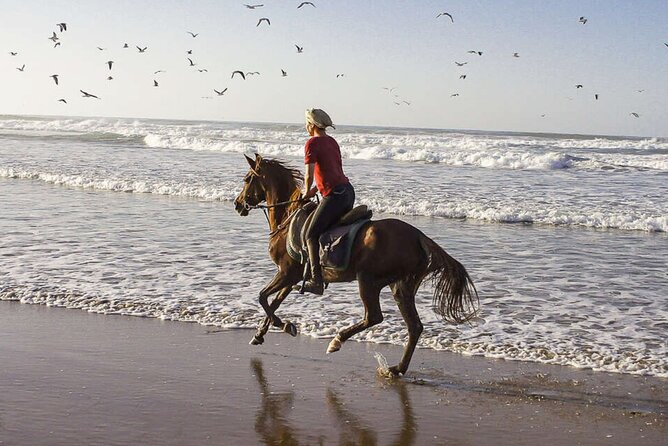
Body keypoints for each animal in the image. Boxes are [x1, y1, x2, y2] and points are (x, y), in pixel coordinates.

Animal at [234, 153, 479, 376]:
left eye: (247, 179)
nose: (237, 204)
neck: (288, 217)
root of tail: (419, 236)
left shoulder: (286, 273)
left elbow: (263, 298)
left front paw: (285, 325)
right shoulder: (291, 276)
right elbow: (273, 302)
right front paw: (260, 334)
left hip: (368, 280)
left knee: (374, 317)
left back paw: (337, 340)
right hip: (401, 287)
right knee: (414, 326)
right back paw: (397, 368)